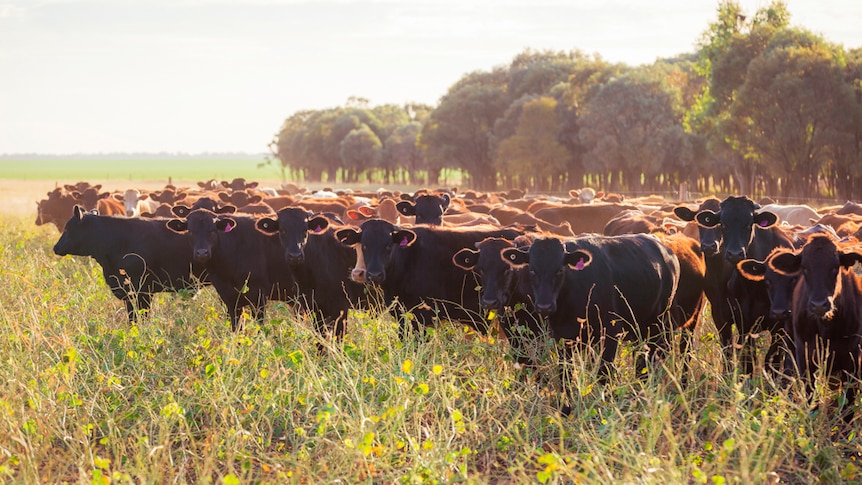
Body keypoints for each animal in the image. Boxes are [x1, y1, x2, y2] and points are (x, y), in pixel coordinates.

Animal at [676, 195, 796, 372]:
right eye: (723, 224)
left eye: (749, 224)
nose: (734, 254)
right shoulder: (734, 320)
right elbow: (741, 357)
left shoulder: (779, 324)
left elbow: (771, 360)